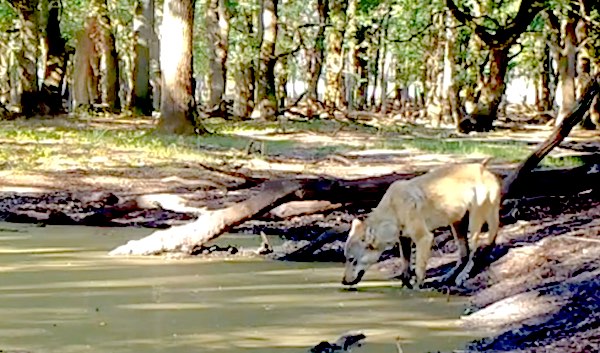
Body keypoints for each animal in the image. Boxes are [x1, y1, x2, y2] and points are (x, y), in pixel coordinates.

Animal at [342, 160, 502, 286]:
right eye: (346, 259)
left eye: (352, 260)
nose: (343, 281)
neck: (394, 210)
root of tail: (484, 168)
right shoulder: (404, 240)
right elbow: (405, 266)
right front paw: (405, 285)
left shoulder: (424, 238)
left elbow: (419, 269)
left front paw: (417, 288)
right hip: (457, 225)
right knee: (465, 254)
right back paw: (448, 276)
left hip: (473, 224)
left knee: (474, 251)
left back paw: (463, 275)